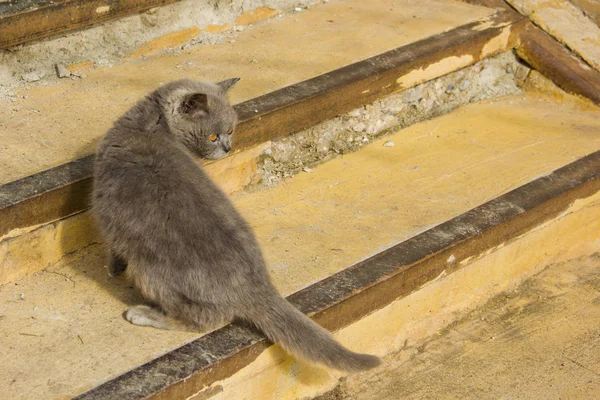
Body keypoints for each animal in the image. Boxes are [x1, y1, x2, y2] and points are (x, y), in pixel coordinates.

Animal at [91, 78, 382, 372]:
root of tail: (259, 286)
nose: (229, 147)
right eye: (213, 136)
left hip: (149, 271)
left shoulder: (107, 214)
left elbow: (113, 249)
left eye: (230, 131)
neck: (148, 127)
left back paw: (143, 314)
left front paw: (112, 270)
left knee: (207, 318)